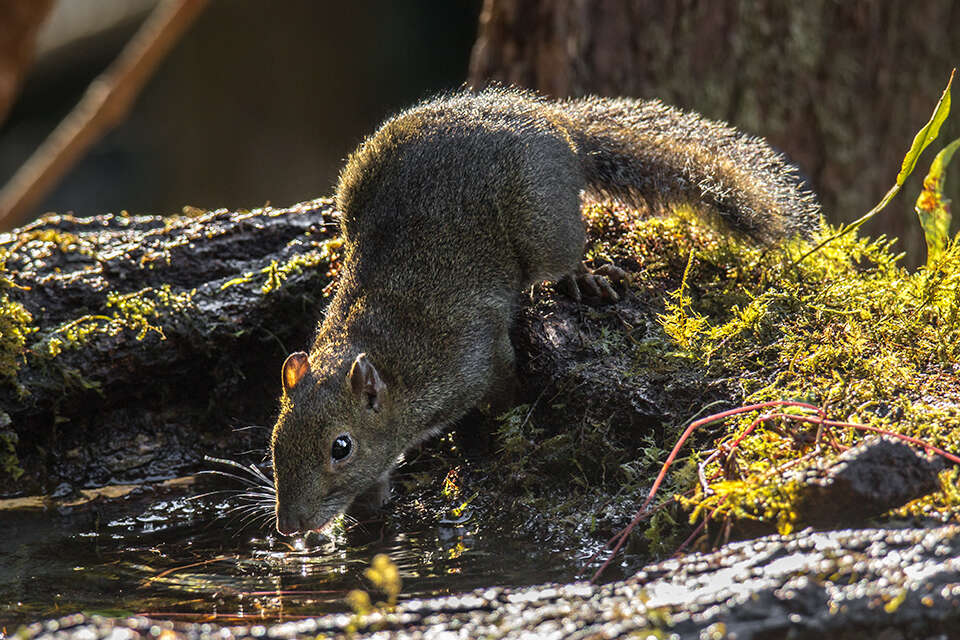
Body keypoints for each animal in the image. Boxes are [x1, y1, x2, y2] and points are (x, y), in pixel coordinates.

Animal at [268, 86, 816, 536]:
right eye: (276, 439)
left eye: (341, 447)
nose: (288, 527)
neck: (382, 356)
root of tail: (556, 123)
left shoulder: (472, 356)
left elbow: (503, 389)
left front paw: (499, 442)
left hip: (544, 224)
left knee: (563, 254)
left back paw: (580, 276)